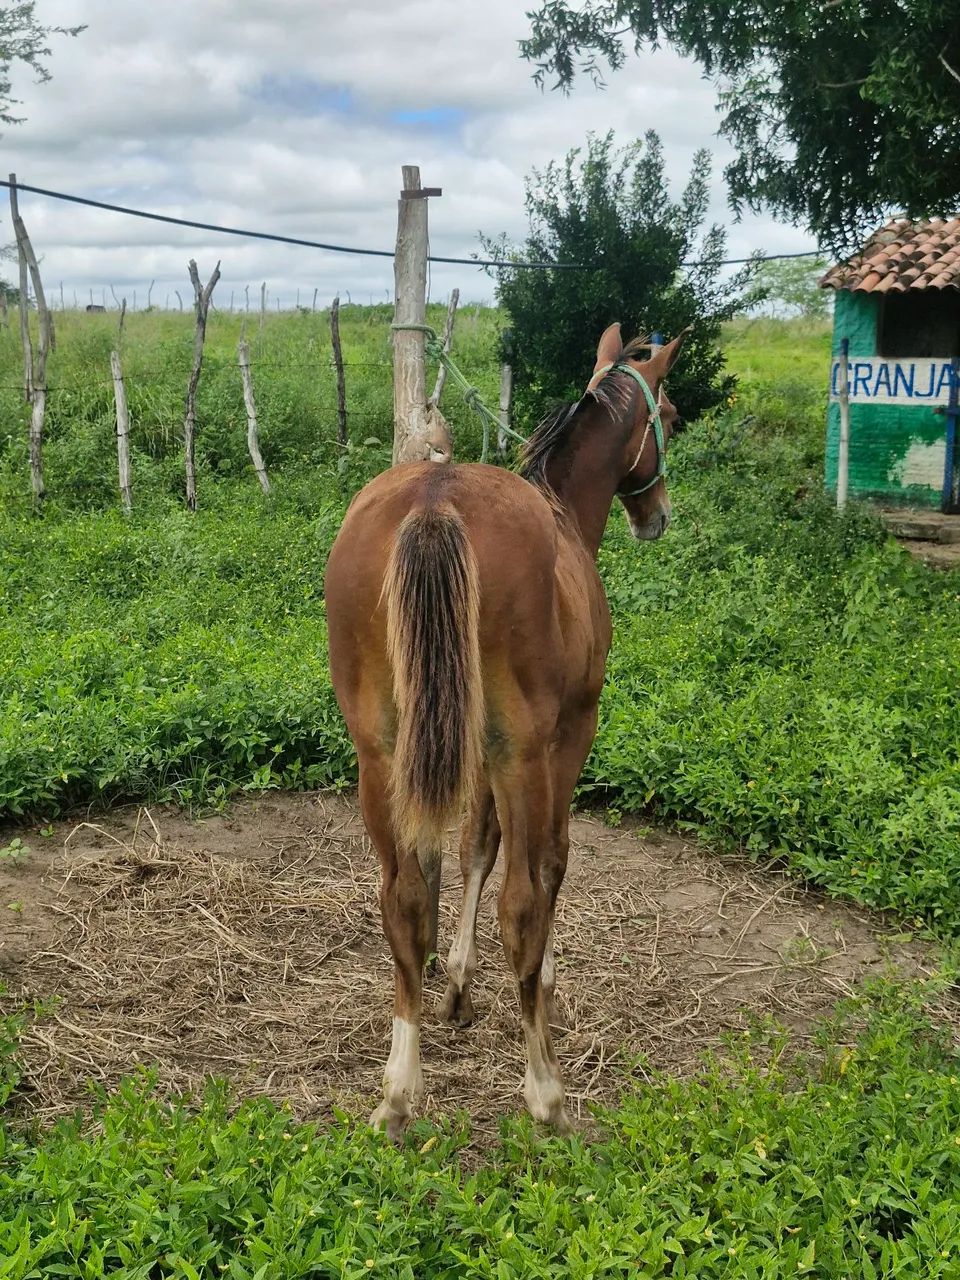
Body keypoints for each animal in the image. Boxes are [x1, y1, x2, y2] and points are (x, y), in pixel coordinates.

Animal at [324, 322, 687, 1138]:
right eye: (673, 416)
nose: (657, 517)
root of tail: (435, 499)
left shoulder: (473, 755)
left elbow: (471, 848)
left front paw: (455, 987)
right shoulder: (561, 737)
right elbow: (545, 863)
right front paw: (537, 981)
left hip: (382, 756)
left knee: (404, 899)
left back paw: (399, 1090)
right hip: (521, 749)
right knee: (520, 898)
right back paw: (544, 1092)